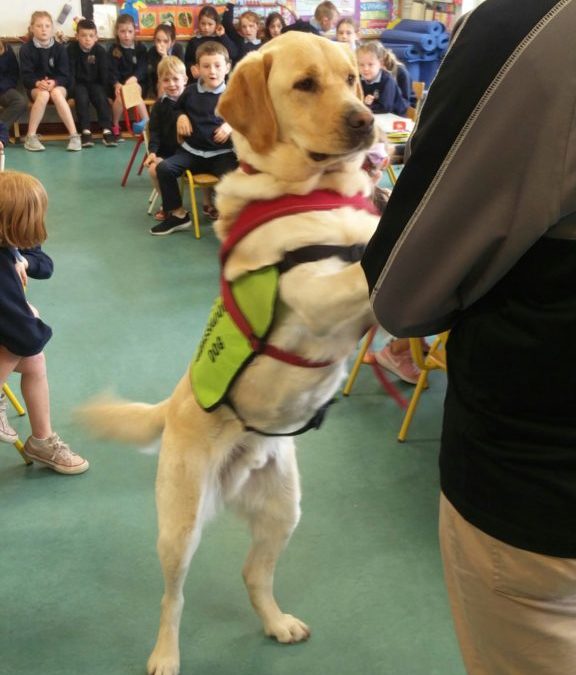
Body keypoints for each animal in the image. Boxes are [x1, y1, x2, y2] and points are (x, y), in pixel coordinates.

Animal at [81, 31, 378, 675]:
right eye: (305, 84)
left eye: (352, 79)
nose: (367, 121)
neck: (316, 192)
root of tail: (170, 405)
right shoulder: (319, 293)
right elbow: (366, 267)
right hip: (181, 525)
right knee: (173, 597)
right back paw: (165, 654)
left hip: (284, 508)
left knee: (252, 574)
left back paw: (276, 622)